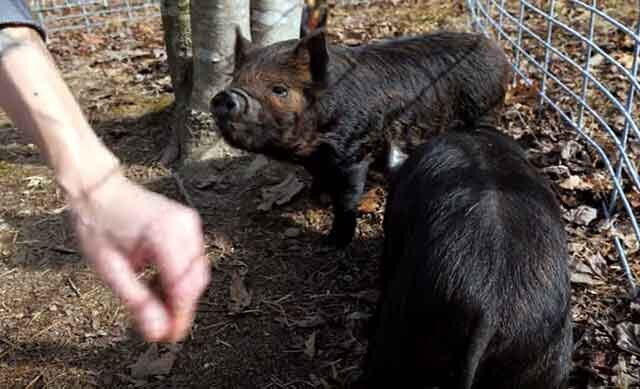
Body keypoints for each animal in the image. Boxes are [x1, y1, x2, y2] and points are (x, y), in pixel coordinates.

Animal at [210, 24, 510, 246]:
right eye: (236, 79)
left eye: (279, 89)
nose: (225, 96)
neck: (315, 144)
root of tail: (498, 53)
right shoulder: (318, 160)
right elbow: (318, 178)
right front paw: (317, 199)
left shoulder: (356, 152)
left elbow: (347, 198)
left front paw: (332, 243)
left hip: (483, 110)